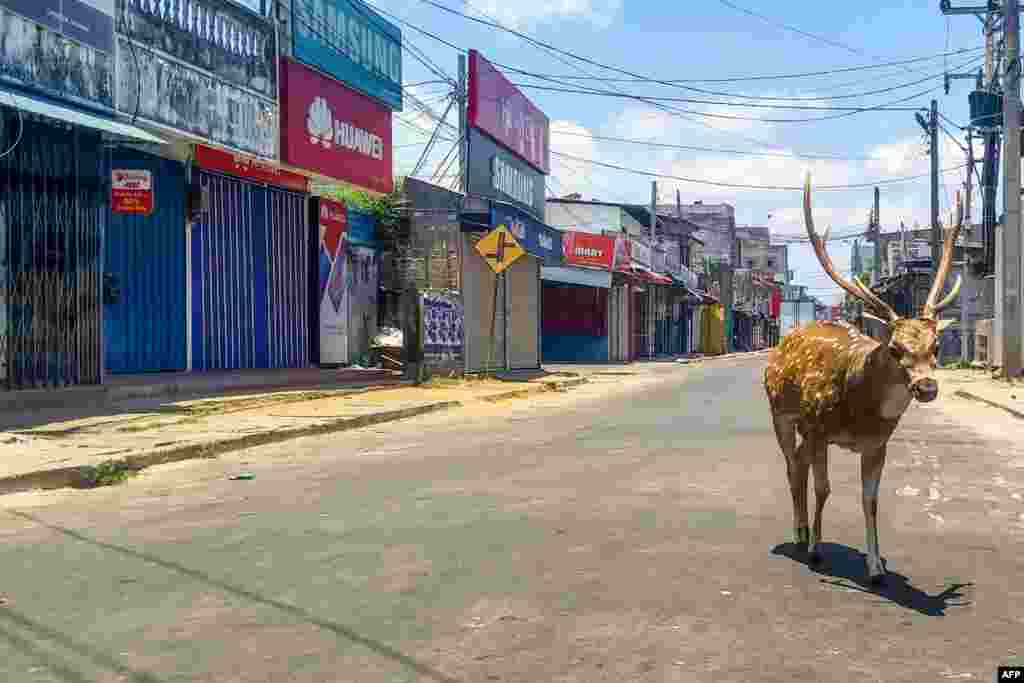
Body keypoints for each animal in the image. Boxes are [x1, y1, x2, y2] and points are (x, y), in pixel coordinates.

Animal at [765, 172, 962, 581]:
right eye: (894, 348)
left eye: (936, 346)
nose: (926, 386)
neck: (859, 412)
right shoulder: (819, 427)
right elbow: (824, 489)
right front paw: (817, 551)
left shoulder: (877, 444)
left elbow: (870, 500)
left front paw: (876, 566)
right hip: (780, 412)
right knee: (792, 465)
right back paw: (800, 534)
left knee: (798, 462)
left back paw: (804, 531)